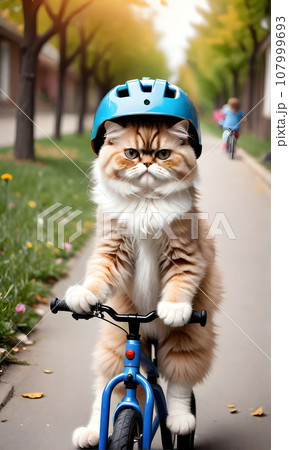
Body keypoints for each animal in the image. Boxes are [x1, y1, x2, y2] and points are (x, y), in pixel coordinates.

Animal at [65, 118, 222, 448]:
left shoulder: (185, 256)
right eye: (132, 153)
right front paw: (82, 294)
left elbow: (179, 284)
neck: (145, 202)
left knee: (179, 386)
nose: (148, 163)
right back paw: (90, 432)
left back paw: (180, 421)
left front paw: (173, 308)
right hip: (115, 343)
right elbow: (97, 276)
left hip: (188, 339)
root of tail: (145, 330)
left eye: (163, 154)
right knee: (108, 391)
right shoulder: (111, 251)